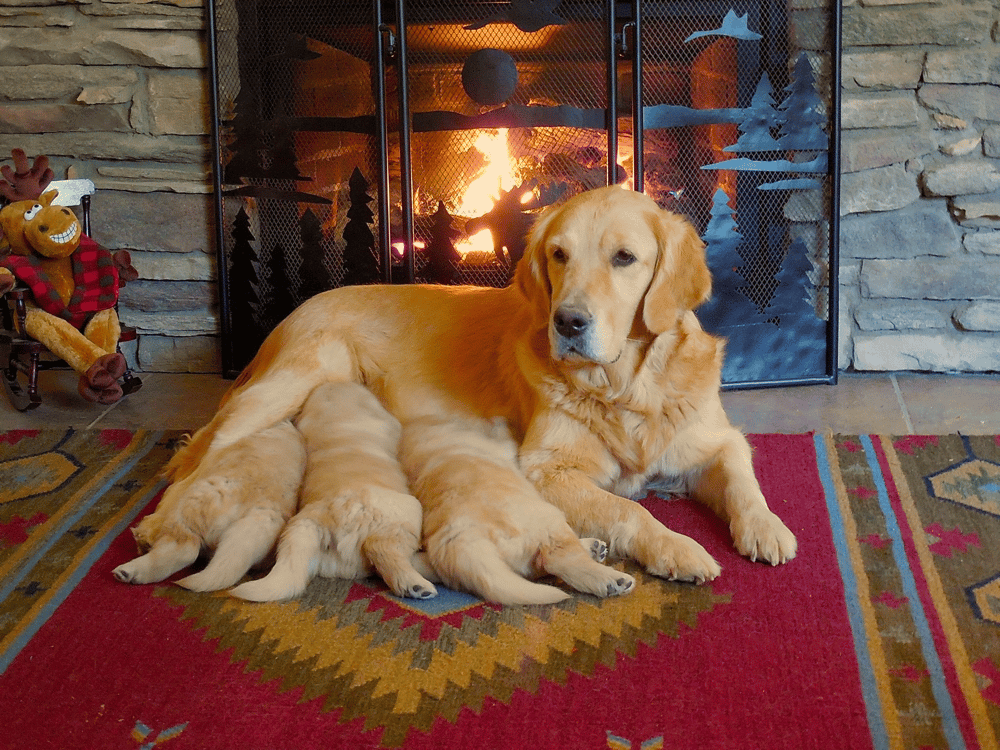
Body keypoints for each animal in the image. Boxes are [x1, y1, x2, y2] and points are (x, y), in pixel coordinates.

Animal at [234, 382, 442, 604]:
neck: (338, 420)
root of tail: (319, 519)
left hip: (325, 558)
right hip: (406, 512)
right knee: (381, 549)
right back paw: (416, 585)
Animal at [398, 414, 632, 608]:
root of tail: (461, 543)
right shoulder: (501, 447)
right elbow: (506, 440)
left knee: (540, 566)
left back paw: (593, 549)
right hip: (547, 518)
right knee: (560, 559)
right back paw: (613, 580)